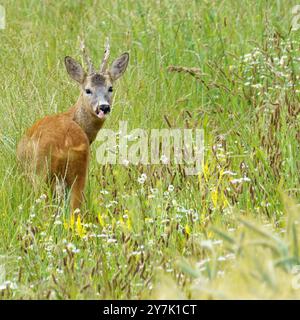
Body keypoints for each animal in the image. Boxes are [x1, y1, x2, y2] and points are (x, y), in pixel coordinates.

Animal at [16, 37, 129, 211]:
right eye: (88, 90)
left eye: (110, 88)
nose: (103, 107)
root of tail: (66, 142)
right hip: (78, 170)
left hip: (41, 173)